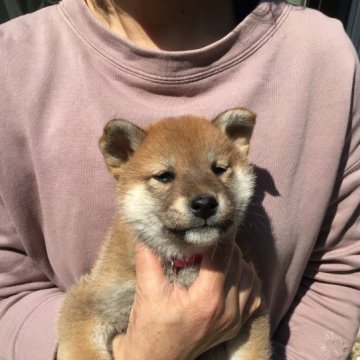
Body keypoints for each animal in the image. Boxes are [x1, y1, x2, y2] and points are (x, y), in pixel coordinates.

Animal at [57, 108, 270, 358]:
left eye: (218, 169)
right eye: (165, 176)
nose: (205, 204)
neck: (181, 263)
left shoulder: (252, 311)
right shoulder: (91, 301)